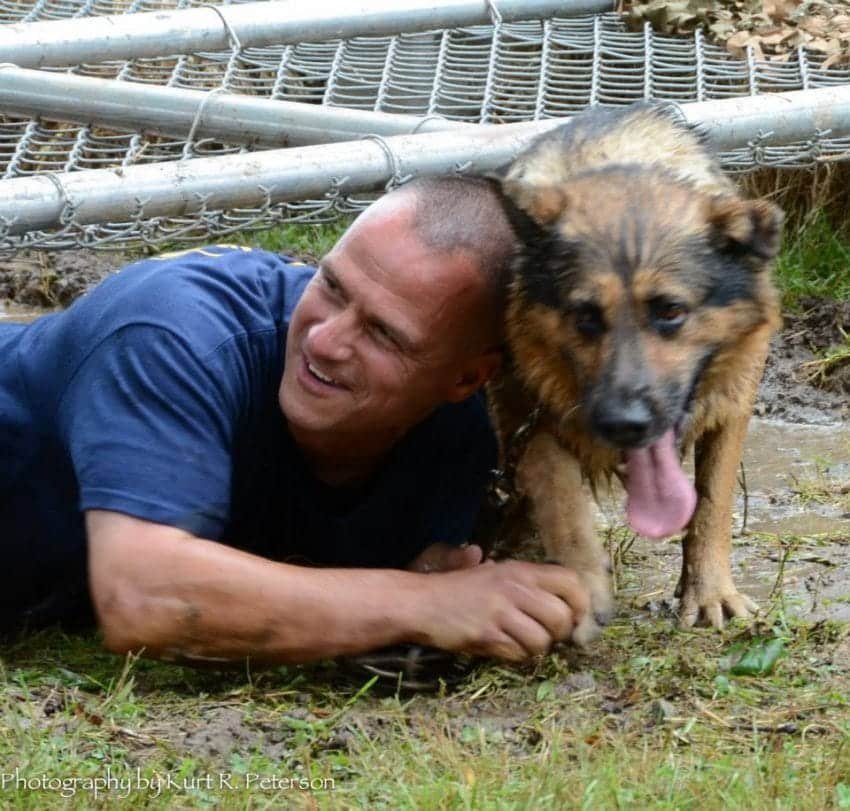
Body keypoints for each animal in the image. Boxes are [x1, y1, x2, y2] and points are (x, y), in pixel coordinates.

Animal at [486, 104, 784, 644]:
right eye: (585, 316)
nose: (625, 424)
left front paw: (709, 592)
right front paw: (582, 581)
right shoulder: (529, 411)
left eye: (670, 311)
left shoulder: (732, 404)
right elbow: (560, 495)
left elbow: (711, 503)